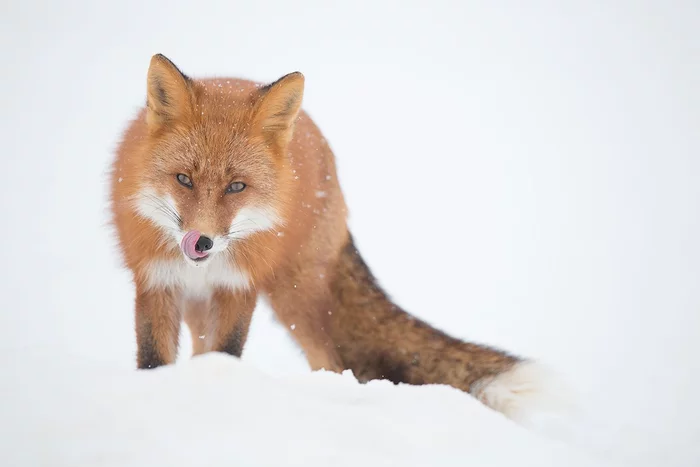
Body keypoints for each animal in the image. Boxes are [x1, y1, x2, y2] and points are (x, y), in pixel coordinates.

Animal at [108, 53, 568, 426]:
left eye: (237, 187)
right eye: (183, 179)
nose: (200, 242)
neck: (203, 267)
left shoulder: (239, 287)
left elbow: (227, 353)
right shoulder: (157, 282)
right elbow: (155, 361)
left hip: (296, 298)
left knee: (328, 362)